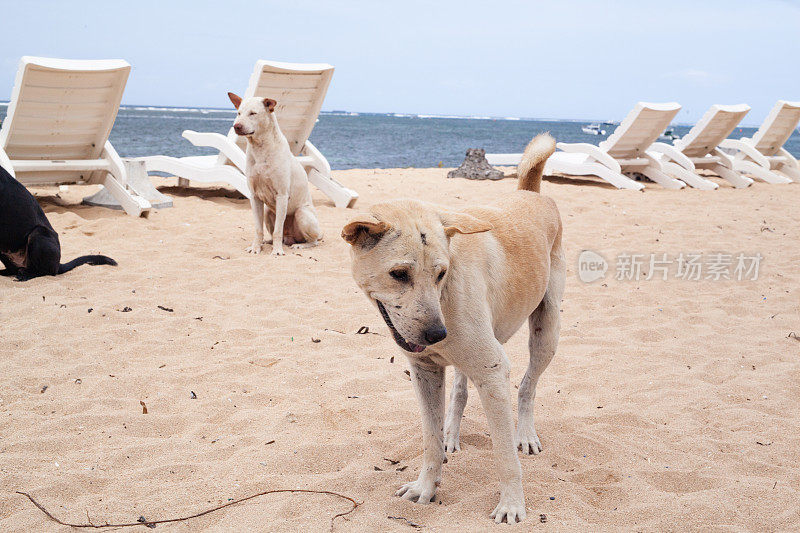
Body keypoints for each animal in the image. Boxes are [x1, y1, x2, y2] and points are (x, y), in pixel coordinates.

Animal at [228, 92, 322, 256]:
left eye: (253, 113)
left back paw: (299, 245)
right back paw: (268, 242)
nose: (236, 126)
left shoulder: (282, 195)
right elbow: (258, 229)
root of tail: (290, 237)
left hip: (302, 213)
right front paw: (255, 247)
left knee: (312, 240)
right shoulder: (254, 197)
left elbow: (278, 230)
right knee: (276, 234)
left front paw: (277, 251)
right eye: (238, 113)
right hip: (268, 212)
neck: (260, 148)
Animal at [342, 134, 564, 524]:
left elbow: (505, 456)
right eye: (399, 274)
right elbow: (429, 441)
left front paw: (512, 505)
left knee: (527, 386)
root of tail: (532, 192)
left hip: (545, 334)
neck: (445, 297)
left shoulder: (493, 371)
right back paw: (452, 434)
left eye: (441, 273)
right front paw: (426, 488)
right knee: (461, 390)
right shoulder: (425, 372)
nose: (436, 335)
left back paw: (525, 434)